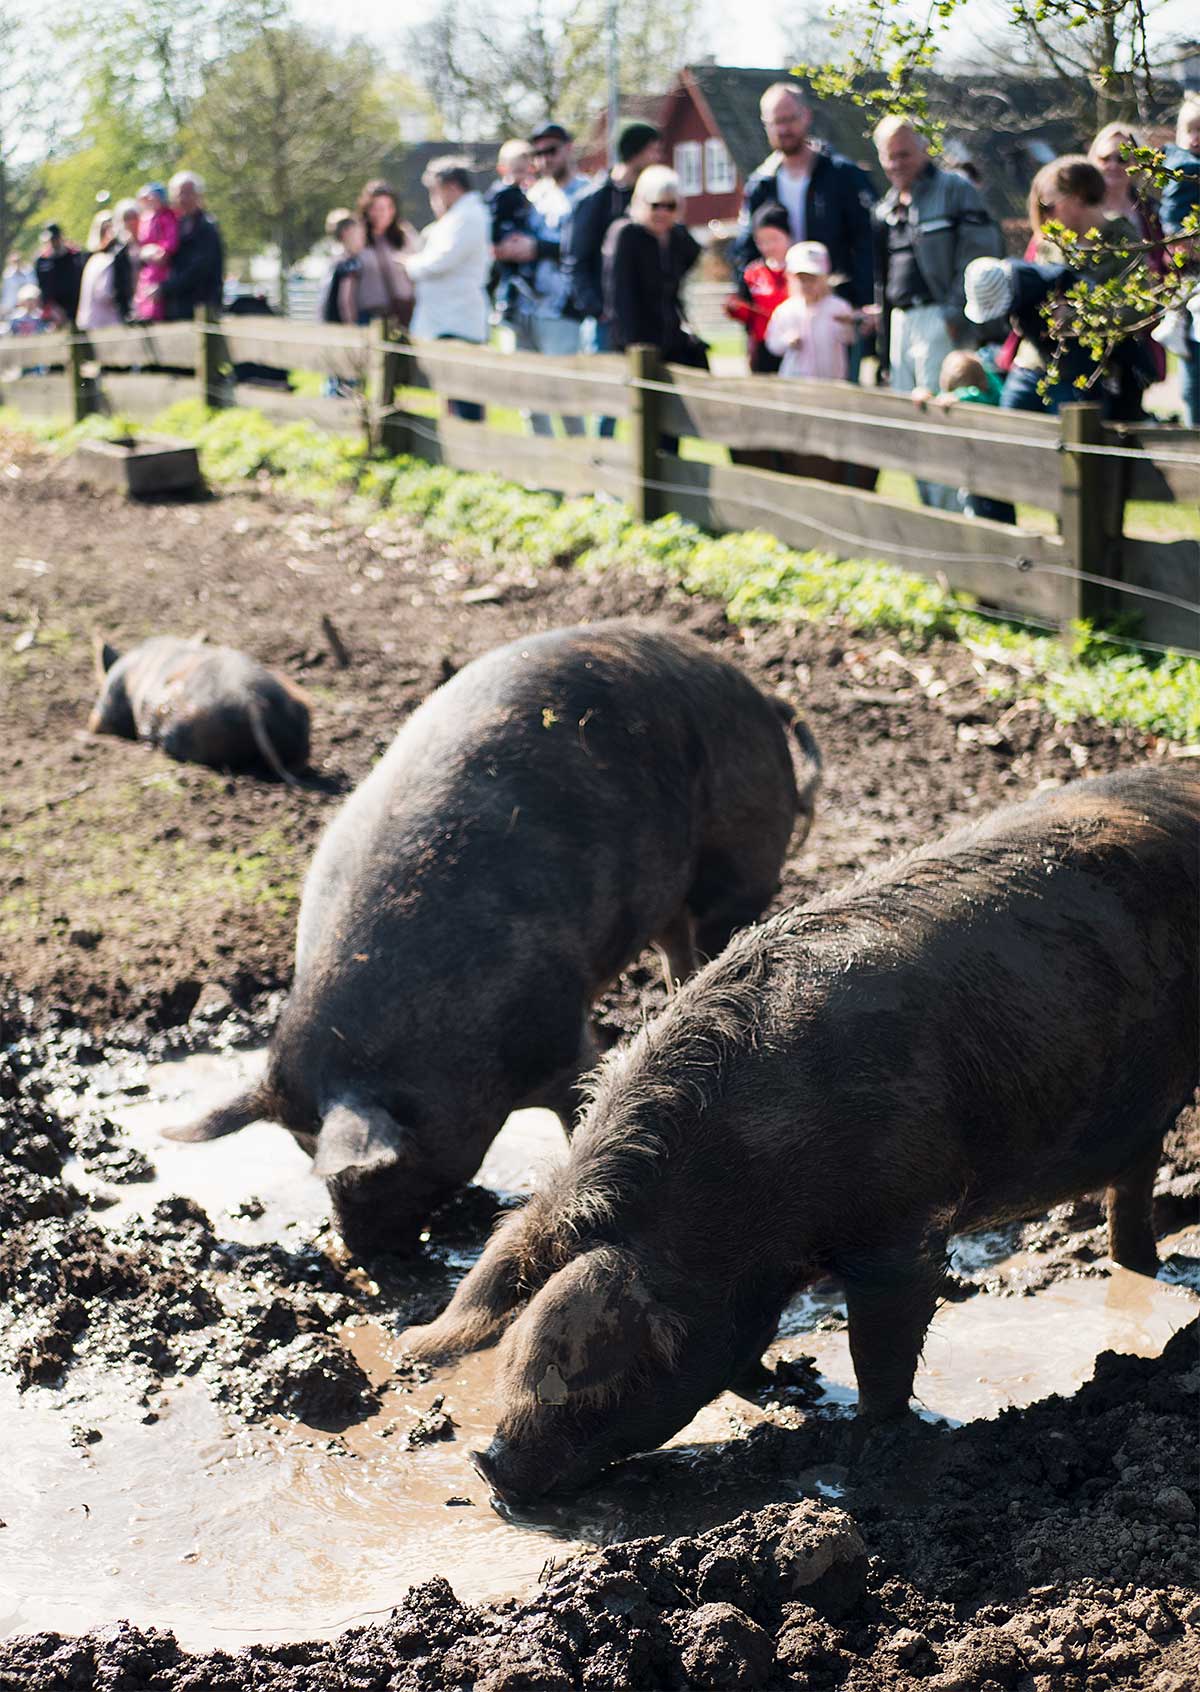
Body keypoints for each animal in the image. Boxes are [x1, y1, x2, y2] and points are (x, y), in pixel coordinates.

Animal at [164, 622, 819, 1258]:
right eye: (302, 1149)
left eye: (378, 1171)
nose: (359, 1252)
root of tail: (755, 692)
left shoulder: (559, 1031)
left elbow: (582, 1097)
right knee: (679, 955)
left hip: (738, 864)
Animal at [404, 764, 1198, 1495]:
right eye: (509, 1355)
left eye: (585, 1367)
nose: (486, 1464)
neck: (741, 1188)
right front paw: (780, 1387)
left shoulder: (904, 1223)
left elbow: (881, 1348)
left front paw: (871, 1448)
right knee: (1136, 1181)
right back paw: (1144, 1268)